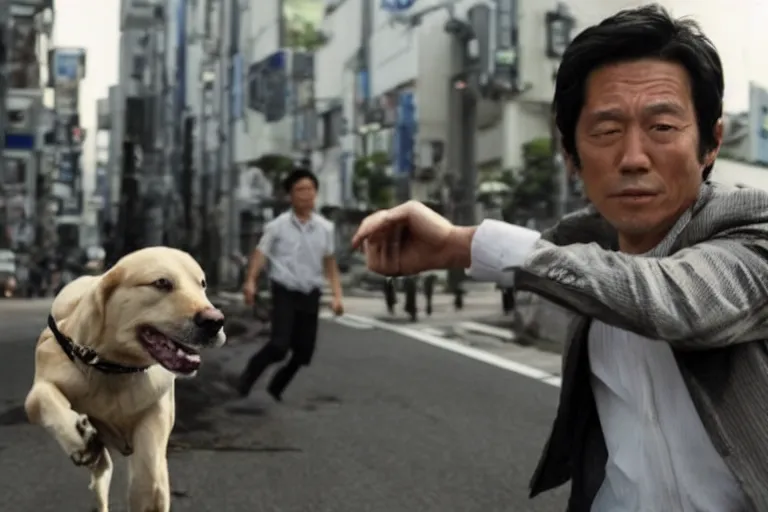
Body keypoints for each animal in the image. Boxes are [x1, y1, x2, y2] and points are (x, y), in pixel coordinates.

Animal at [24, 246, 226, 510]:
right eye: (162, 282)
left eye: (202, 284)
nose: (216, 321)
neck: (113, 368)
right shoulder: (48, 375)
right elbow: (40, 398)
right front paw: (78, 438)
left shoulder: (154, 421)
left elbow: (147, 483)